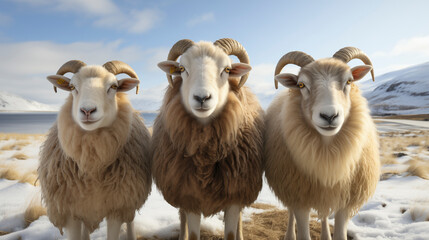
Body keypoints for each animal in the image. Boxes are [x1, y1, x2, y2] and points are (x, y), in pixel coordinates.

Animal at [38, 60, 151, 240]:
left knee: (130, 221)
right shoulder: (69, 212)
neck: (92, 166)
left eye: (113, 86)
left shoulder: (118, 207)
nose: (87, 111)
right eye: (72, 86)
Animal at [150, 38, 264, 239]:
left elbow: (231, 233)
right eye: (182, 69)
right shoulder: (190, 196)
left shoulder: (235, 195)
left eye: (227, 69)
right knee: (182, 217)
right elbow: (193, 232)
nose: (202, 98)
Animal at [262, 47, 380, 240]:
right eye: (301, 85)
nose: (329, 116)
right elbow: (302, 231)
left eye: (349, 80)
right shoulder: (298, 196)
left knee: (324, 215)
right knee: (290, 212)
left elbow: (340, 234)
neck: (327, 153)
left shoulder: (345, 201)